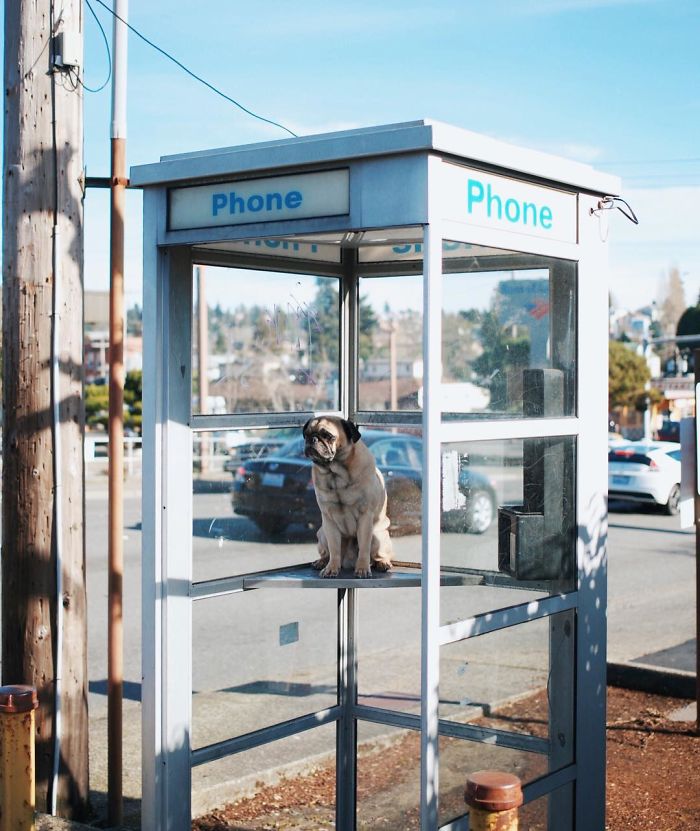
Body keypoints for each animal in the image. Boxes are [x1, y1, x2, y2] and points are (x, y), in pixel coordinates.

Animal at [302, 416, 394, 580]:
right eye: (306, 435)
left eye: (327, 435)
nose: (312, 439)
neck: (335, 473)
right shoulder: (329, 520)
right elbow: (334, 549)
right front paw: (331, 568)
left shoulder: (365, 516)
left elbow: (364, 547)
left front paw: (362, 568)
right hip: (323, 533)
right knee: (328, 552)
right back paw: (322, 562)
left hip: (377, 536)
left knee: (378, 554)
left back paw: (382, 563)